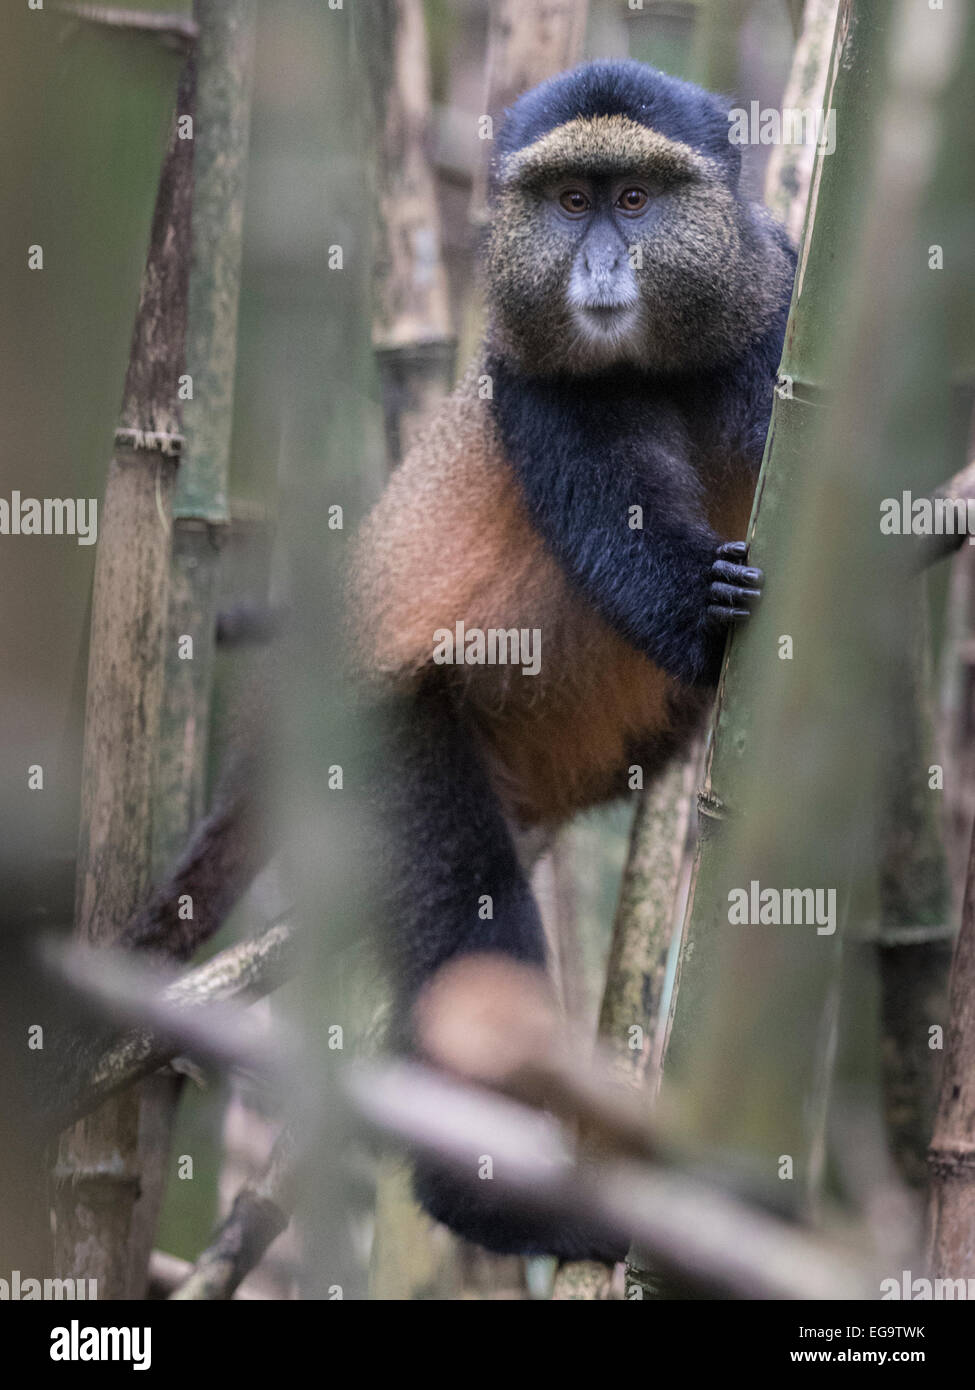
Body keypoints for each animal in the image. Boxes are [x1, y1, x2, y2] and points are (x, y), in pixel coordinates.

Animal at [350, 57, 797, 1261]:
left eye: (634, 201)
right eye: (567, 202)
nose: (598, 263)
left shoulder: (776, 311)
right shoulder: (536, 395)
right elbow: (625, 541)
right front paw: (711, 606)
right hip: (393, 750)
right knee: (474, 929)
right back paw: (511, 1199)